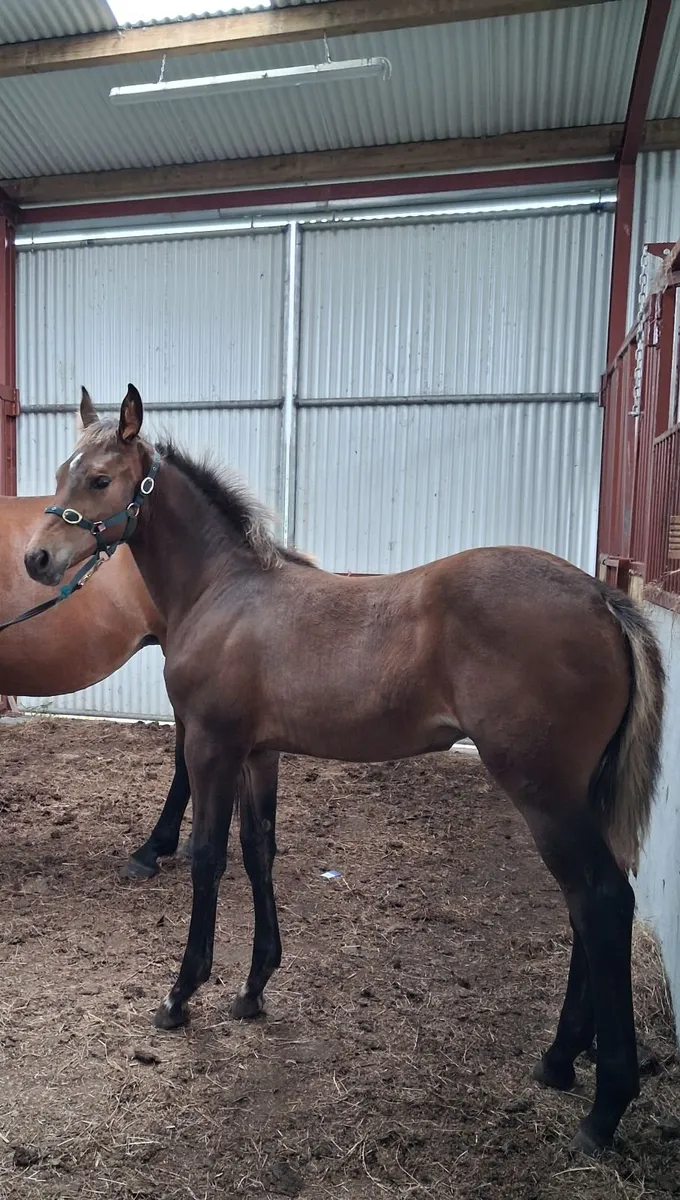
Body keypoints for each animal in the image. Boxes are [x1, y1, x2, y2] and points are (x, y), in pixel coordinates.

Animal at [25, 384, 665, 1157]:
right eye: (61, 472)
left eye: (98, 480)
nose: (36, 559)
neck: (221, 591)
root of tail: (604, 598)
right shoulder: (259, 753)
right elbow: (258, 852)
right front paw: (253, 988)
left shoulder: (211, 745)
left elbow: (208, 857)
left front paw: (181, 995)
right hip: (577, 795)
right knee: (584, 904)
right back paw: (559, 1059)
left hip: (544, 793)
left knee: (601, 902)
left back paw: (603, 1108)